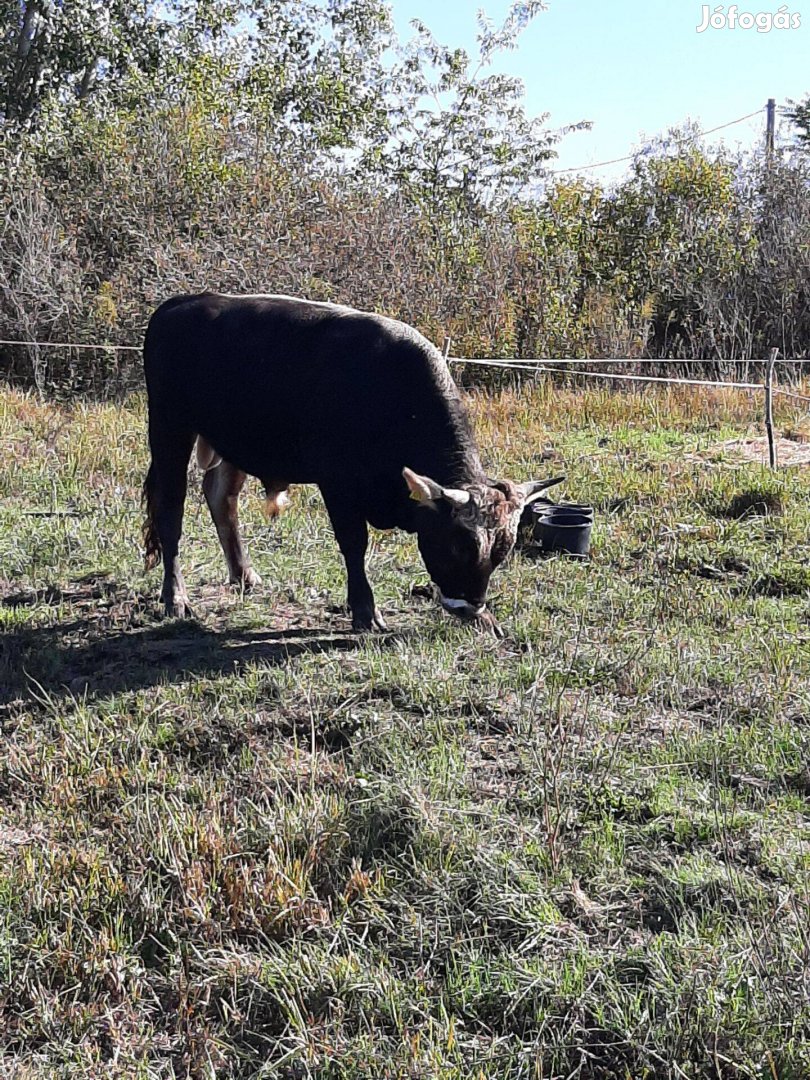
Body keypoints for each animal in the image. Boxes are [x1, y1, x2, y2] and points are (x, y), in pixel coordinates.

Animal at [142, 291, 561, 635]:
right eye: (459, 545)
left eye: (501, 552)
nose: (469, 607)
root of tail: (181, 303)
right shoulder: (338, 483)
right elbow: (354, 544)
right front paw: (365, 611)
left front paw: (488, 620)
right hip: (169, 428)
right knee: (170, 512)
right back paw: (175, 597)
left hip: (233, 441)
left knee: (220, 499)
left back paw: (245, 575)